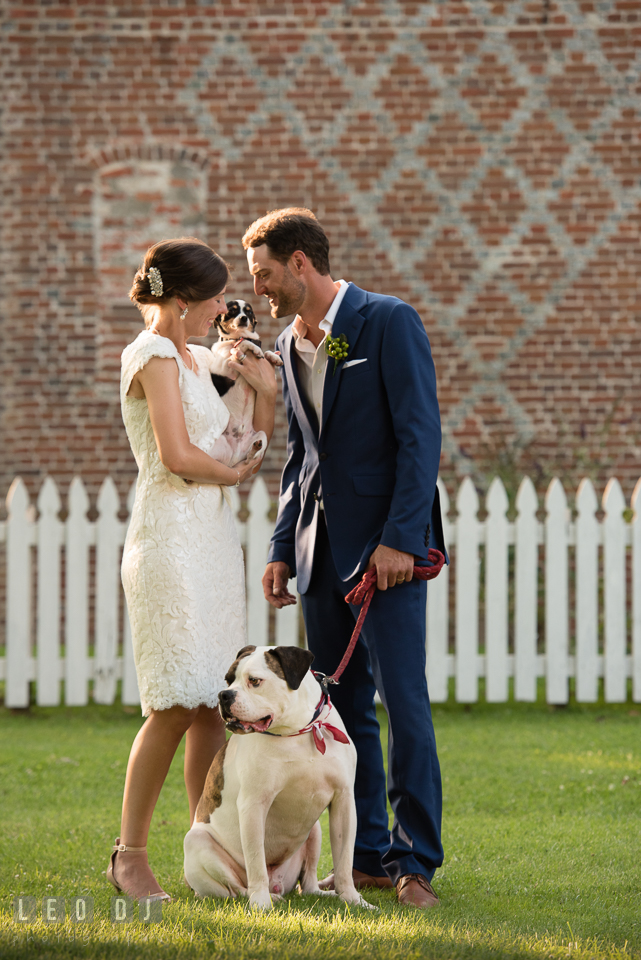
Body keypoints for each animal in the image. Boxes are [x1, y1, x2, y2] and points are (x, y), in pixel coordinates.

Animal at [182, 644, 372, 908]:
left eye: (254, 681)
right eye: (228, 680)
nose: (223, 695)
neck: (298, 731)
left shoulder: (343, 802)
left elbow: (344, 861)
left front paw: (352, 899)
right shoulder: (253, 805)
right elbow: (256, 861)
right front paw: (261, 903)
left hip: (314, 832)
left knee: (308, 885)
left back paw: (324, 893)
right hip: (197, 842)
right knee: (237, 888)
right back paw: (267, 896)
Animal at [208, 298, 282, 466]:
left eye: (249, 312)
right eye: (232, 311)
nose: (243, 318)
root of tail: (233, 458)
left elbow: (265, 352)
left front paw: (274, 357)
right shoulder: (225, 369)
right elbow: (241, 343)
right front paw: (253, 347)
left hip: (261, 435)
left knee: (250, 459)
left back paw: (255, 449)